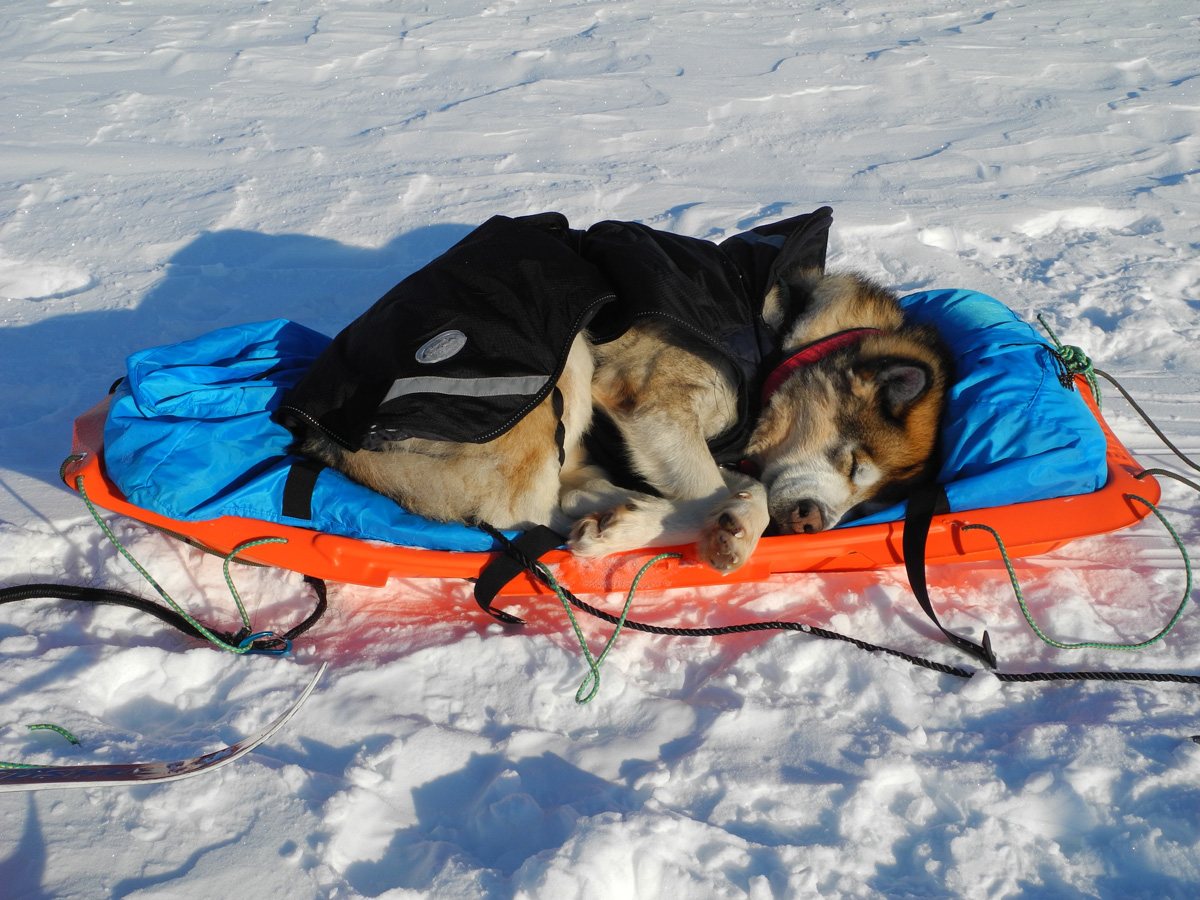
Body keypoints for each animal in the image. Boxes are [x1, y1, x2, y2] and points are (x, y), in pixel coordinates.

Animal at [288, 259, 945, 578]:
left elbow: (738, 484)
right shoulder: (654, 405)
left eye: (865, 505)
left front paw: (733, 520)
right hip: (568, 357)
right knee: (528, 510)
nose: (813, 522)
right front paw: (725, 524)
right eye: (854, 462)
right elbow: (715, 489)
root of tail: (320, 434)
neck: (781, 336)